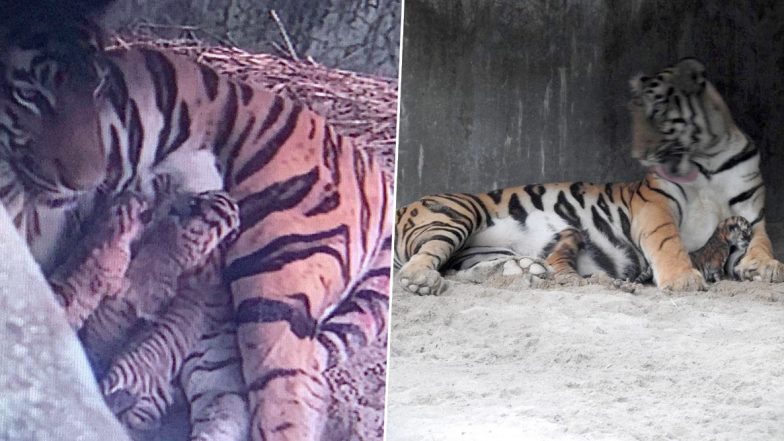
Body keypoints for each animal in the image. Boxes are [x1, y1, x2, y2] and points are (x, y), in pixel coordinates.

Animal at [0, 2, 392, 441]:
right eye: (29, 96)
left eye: (98, 90)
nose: (89, 183)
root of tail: (371, 164)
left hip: (278, 270)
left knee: (291, 391)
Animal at [395, 58, 783, 295]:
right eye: (635, 114)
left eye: (657, 112)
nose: (640, 154)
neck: (706, 159)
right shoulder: (656, 205)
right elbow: (668, 241)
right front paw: (682, 279)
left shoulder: (752, 214)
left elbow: (762, 240)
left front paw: (765, 267)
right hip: (456, 214)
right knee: (426, 255)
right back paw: (422, 280)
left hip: (482, 250)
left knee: (470, 269)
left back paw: (527, 270)